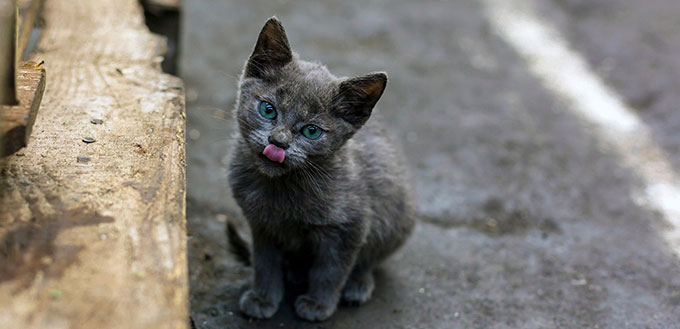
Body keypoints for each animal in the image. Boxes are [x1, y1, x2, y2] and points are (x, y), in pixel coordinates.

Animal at [228, 16, 414, 320]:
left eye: (312, 131)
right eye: (268, 109)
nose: (278, 142)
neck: (282, 188)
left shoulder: (349, 227)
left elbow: (331, 270)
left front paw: (318, 305)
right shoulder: (261, 225)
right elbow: (264, 263)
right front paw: (263, 297)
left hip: (396, 218)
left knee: (369, 260)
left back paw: (357, 284)